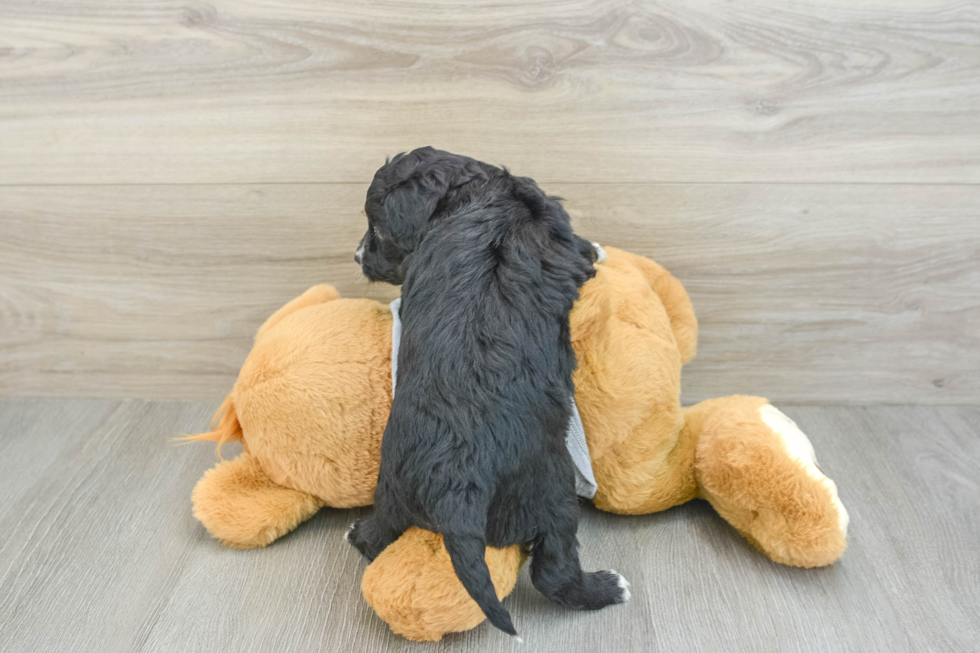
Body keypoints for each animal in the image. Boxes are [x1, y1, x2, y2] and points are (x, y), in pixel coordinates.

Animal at [348, 148, 632, 636]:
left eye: (379, 231)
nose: (357, 255)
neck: (475, 191)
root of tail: (456, 483)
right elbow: (583, 251)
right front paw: (598, 247)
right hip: (551, 492)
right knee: (554, 571)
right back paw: (608, 588)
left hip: (393, 484)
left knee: (380, 534)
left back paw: (358, 534)